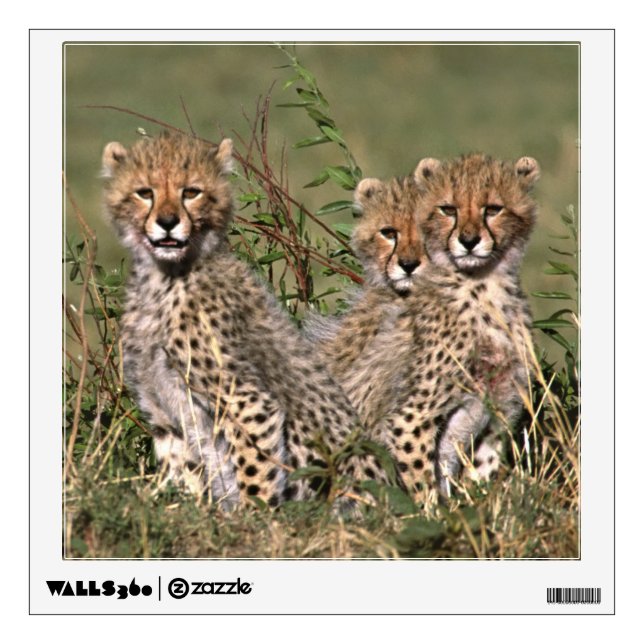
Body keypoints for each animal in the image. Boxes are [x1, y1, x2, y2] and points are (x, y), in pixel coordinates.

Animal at [101, 130, 388, 510]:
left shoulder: (249, 402)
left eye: (191, 192)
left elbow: (255, 470)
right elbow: (183, 471)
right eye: (144, 192)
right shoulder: (163, 413)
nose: (167, 222)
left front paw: (256, 517)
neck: (164, 277)